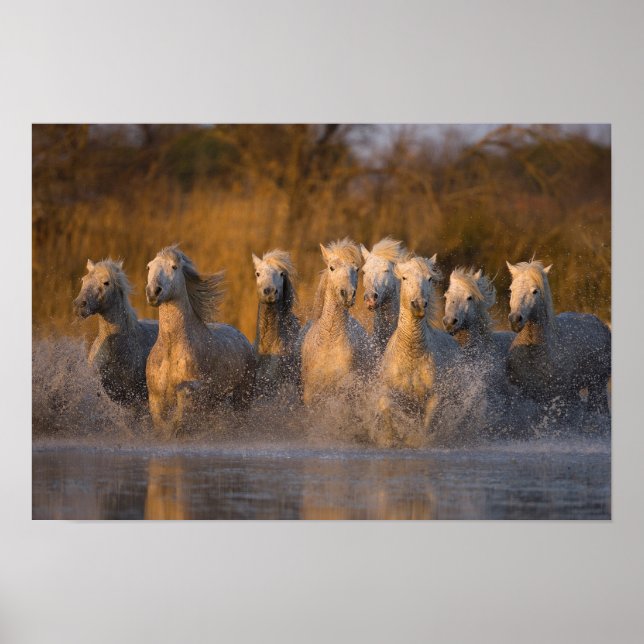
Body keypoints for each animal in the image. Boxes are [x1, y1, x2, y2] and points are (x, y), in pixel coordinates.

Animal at [145, 245, 255, 436]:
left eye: (174, 267)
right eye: (149, 267)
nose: (153, 292)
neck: (171, 347)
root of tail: (243, 337)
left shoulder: (190, 394)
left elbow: (179, 421)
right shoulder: (156, 399)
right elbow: (163, 427)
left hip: (242, 397)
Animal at [300, 238, 368, 405]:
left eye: (356, 269)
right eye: (331, 268)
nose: (347, 294)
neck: (329, 342)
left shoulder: (343, 392)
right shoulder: (310, 393)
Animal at [374, 255, 460, 447]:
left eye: (429, 279)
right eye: (404, 278)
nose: (419, 305)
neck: (412, 352)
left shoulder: (434, 397)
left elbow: (427, 424)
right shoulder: (388, 389)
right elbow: (387, 408)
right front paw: (392, 437)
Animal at [506, 259, 611, 413]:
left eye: (535, 291)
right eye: (511, 290)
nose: (515, 320)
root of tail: (600, 323)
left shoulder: (557, 398)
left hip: (597, 387)